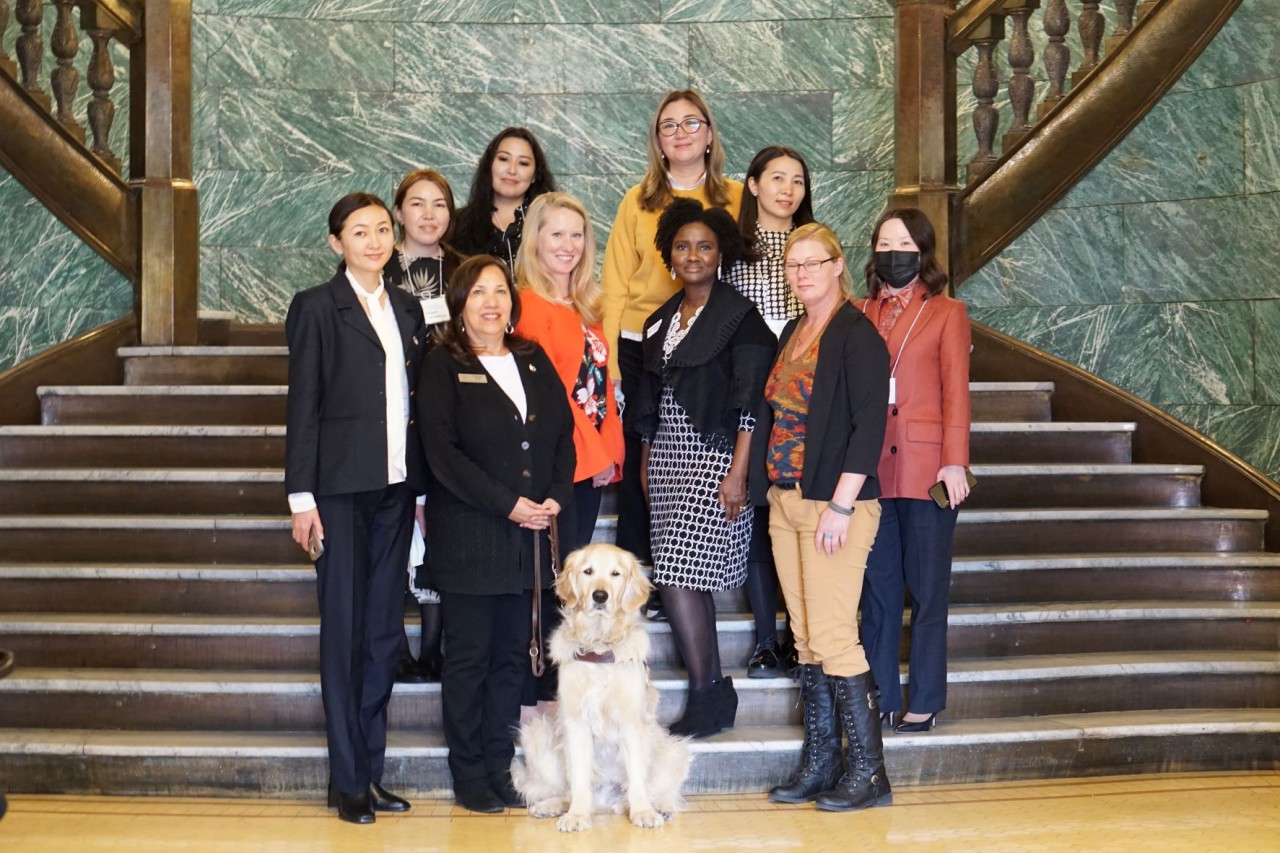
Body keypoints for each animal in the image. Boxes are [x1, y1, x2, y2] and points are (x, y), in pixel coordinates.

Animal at [509, 540, 691, 824]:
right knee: (565, 790)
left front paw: (643, 812)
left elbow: (636, 776)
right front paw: (577, 815)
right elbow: (579, 777)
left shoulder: (631, 721)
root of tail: (606, 802)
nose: (600, 596)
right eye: (588, 571)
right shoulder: (576, 723)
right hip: (538, 734)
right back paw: (552, 805)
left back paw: (660, 806)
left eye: (615, 574)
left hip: (672, 749)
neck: (599, 646)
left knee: (655, 787)